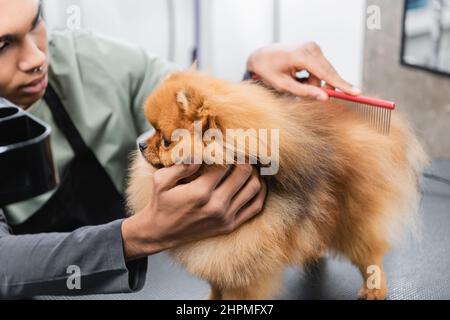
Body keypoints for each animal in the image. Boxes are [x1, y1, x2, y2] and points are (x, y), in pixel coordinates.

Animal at [126, 70, 428, 300]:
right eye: (151, 129)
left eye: (166, 140)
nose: (140, 144)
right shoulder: (219, 259)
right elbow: (216, 285)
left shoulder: (241, 264)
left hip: (354, 223)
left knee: (370, 257)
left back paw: (374, 289)